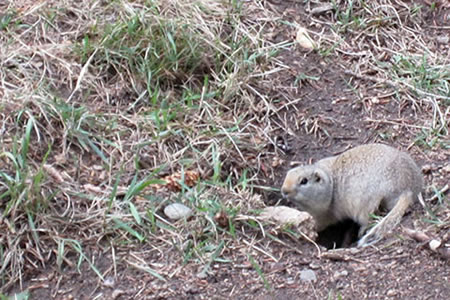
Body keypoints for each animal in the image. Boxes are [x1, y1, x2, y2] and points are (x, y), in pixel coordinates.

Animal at [280, 144, 424, 247]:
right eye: (288, 174)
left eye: (304, 181)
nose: (284, 190)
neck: (330, 184)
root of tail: (408, 190)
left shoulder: (323, 213)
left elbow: (320, 223)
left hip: (366, 204)